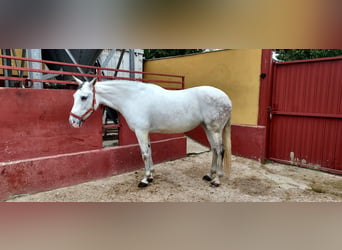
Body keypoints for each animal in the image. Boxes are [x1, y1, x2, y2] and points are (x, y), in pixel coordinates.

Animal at [69, 77, 232, 188]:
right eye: (74, 97)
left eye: (84, 97)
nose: (72, 121)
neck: (133, 98)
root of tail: (227, 99)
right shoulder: (146, 132)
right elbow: (150, 151)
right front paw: (152, 175)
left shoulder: (141, 132)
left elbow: (145, 154)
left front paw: (145, 179)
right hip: (207, 128)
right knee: (214, 149)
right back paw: (209, 175)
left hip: (215, 129)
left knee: (220, 150)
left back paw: (217, 179)